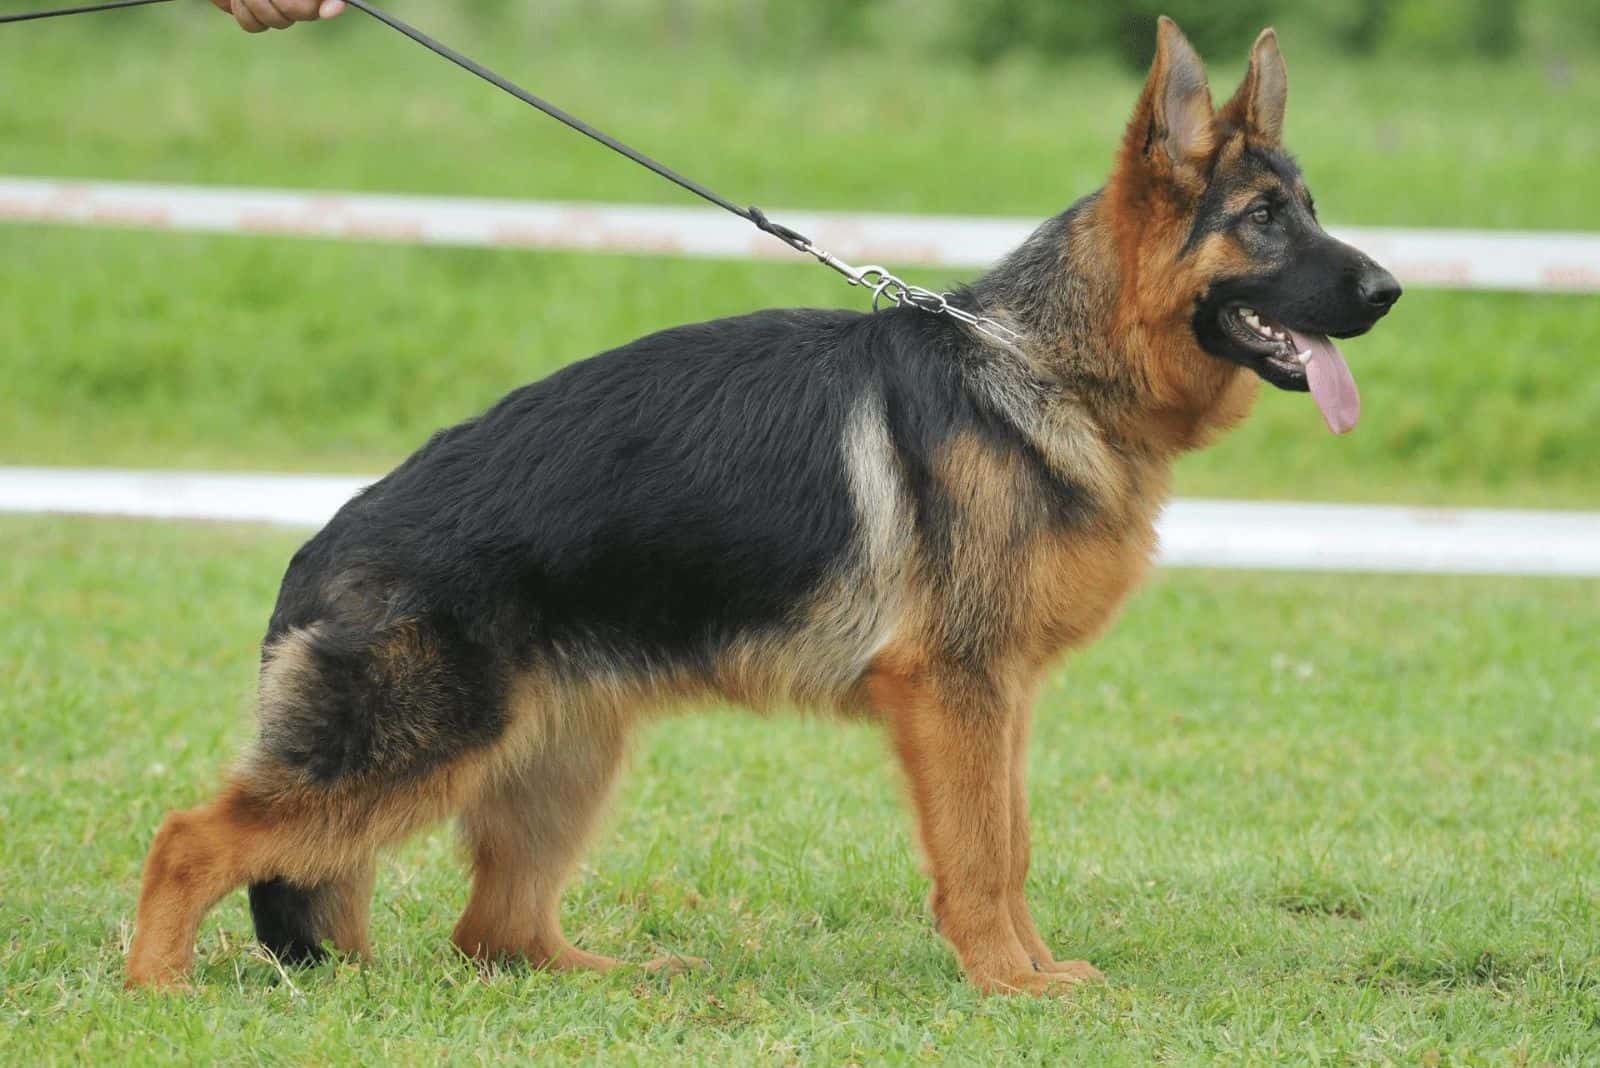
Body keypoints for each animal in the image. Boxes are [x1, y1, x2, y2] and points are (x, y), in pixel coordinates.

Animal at [128, 20, 1401, 991]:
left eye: (1310, 208)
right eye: (1264, 220)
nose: (1392, 289)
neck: (1044, 364)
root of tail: (318, 547)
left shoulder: (998, 698)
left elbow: (1013, 841)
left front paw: (1032, 970)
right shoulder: (953, 692)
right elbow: (982, 854)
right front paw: (1010, 982)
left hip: (561, 761)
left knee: (493, 933)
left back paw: (613, 978)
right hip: (416, 753)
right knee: (191, 839)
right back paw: (157, 987)